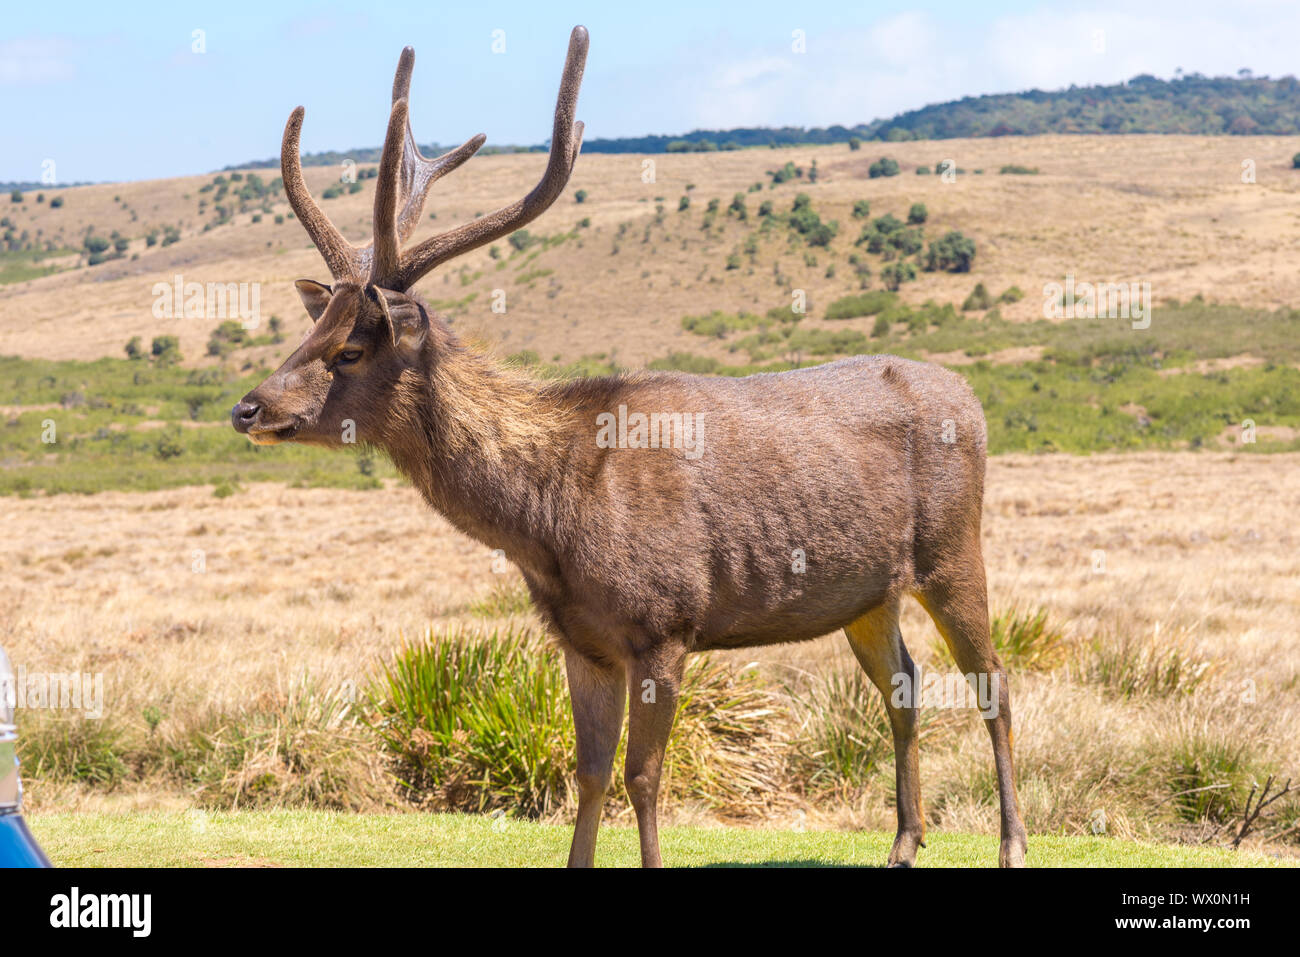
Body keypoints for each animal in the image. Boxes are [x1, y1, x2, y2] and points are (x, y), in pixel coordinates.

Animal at [231, 27, 1024, 868]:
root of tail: (971, 397)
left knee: (994, 681)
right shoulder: (583, 641)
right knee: (904, 685)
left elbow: (644, 775)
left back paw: (1011, 841)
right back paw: (904, 841)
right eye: (308, 332)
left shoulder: (665, 622)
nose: (247, 407)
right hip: (867, 591)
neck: (550, 521)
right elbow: (588, 771)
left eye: (349, 351)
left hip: (953, 547)